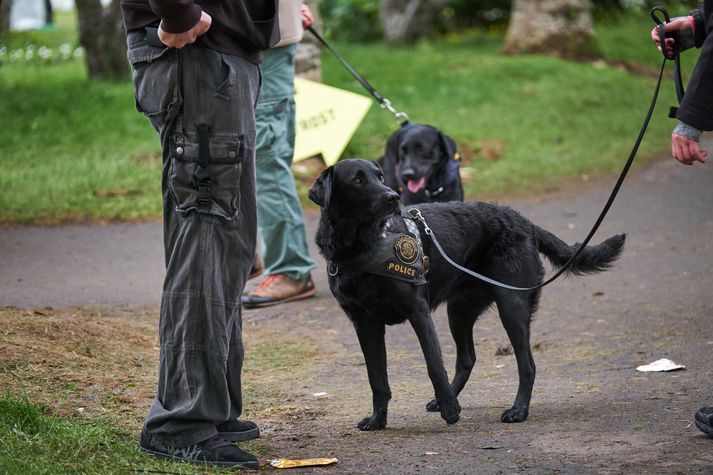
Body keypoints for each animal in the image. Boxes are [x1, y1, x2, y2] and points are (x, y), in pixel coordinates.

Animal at [306, 159, 624, 432]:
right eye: (358, 180)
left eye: (380, 176)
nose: (393, 198)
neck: (362, 247)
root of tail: (522, 220)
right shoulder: (364, 324)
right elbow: (377, 379)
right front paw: (377, 420)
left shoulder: (418, 312)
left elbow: (434, 365)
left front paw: (450, 410)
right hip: (459, 311)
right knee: (467, 358)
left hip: (512, 304)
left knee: (527, 365)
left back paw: (517, 411)